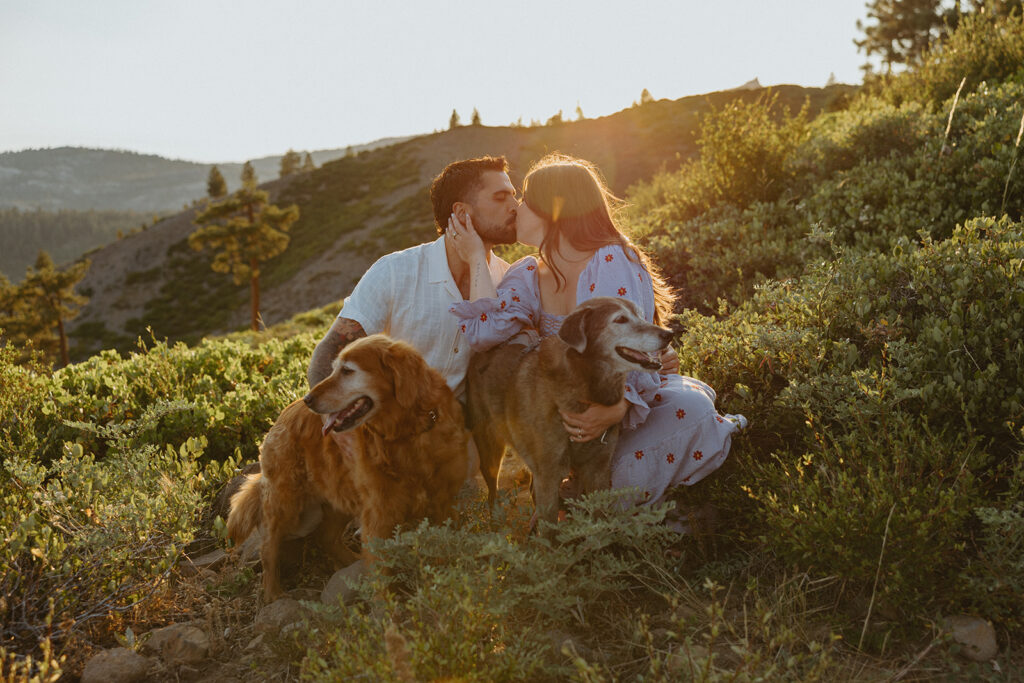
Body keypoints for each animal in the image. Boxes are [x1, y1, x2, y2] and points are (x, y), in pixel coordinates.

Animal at [229, 333, 468, 602]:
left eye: (347, 371)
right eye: (334, 369)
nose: (308, 400)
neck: (407, 434)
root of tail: (281, 416)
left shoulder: (443, 503)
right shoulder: (379, 515)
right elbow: (382, 575)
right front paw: (387, 610)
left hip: (338, 494)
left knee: (326, 537)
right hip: (286, 503)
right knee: (268, 546)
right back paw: (273, 592)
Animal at [464, 296, 671, 528]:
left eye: (642, 316)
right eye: (620, 319)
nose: (669, 334)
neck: (584, 386)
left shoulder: (598, 469)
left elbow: (600, 519)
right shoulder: (549, 474)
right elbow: (550, 529)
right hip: (489, 447)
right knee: (492, 490)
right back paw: (496, 520)